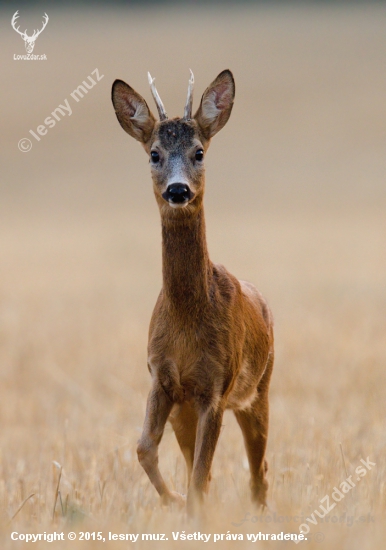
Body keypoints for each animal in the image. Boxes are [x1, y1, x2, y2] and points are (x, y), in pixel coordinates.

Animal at [111, 70, 274, 516]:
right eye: (154, 154)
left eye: (199, 152)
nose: (178, 191)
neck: (186, 320)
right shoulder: (162, 377)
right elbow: (145, 449)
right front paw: (175, 500)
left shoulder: (216, 387)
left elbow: (201, 474)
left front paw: (188, 507)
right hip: (186, 409)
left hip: (259, 388)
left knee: (259, 470)